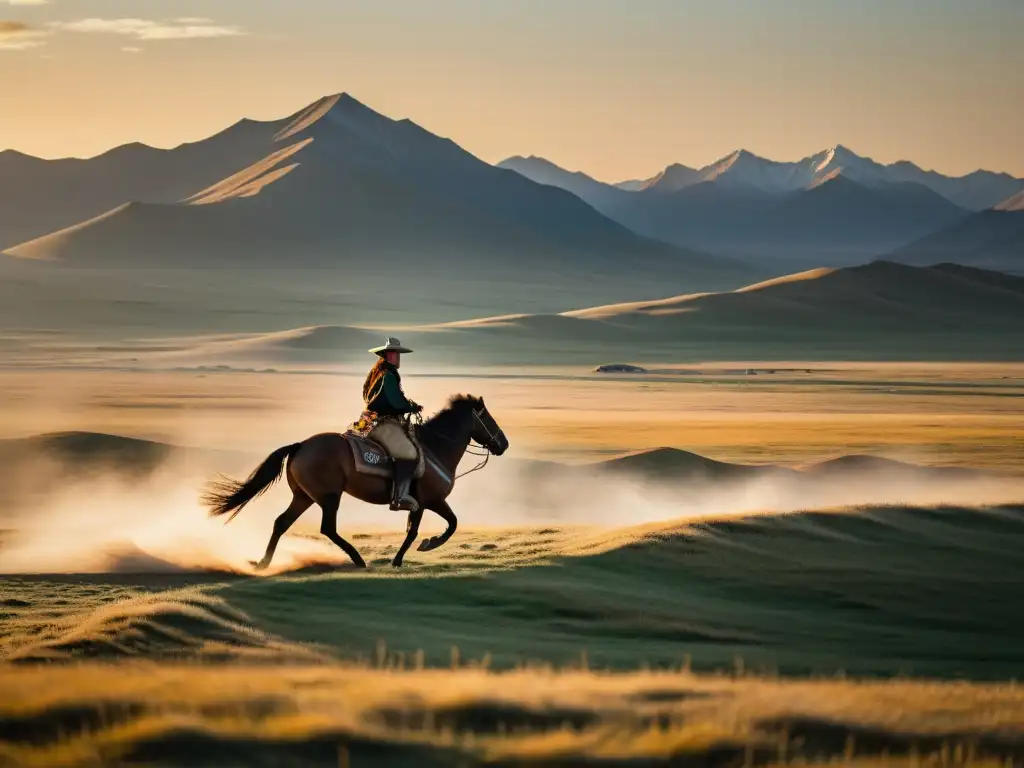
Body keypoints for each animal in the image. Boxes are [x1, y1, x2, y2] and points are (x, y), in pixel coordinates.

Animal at [199, 397, 507, 573]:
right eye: (487, 417)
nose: (503, 443)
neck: (435, 447)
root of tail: (301, 446)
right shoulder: (430, 501)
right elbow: (444, 525)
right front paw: (426, 546)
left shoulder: (419, 505)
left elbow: (416, 530)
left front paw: (401, 558)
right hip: (329, 497)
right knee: (327, 528)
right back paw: (358, 560)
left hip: (304, 497)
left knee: (281, 522)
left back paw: (263, 563)